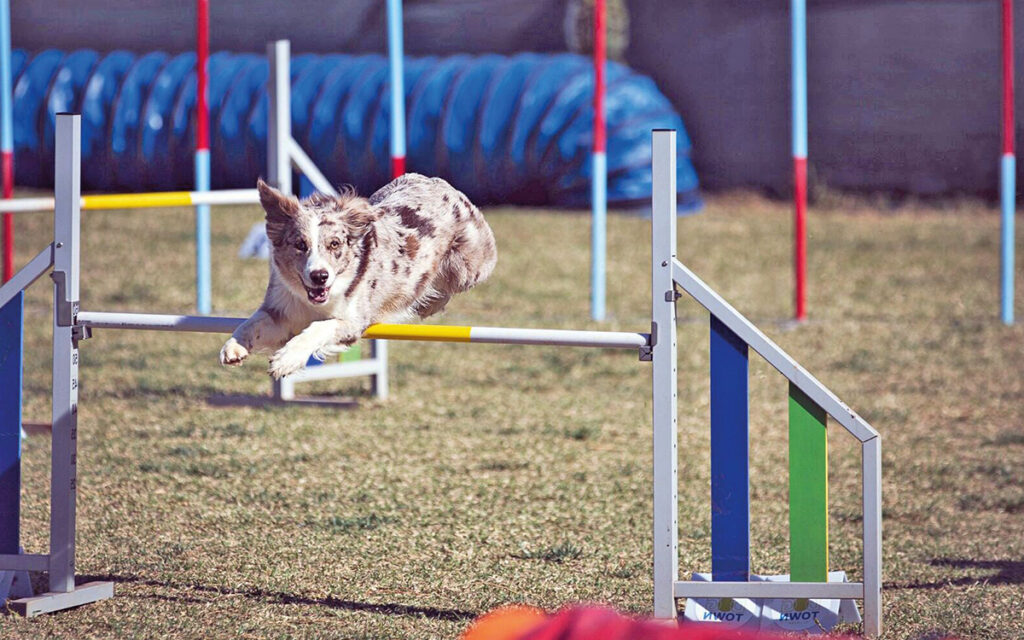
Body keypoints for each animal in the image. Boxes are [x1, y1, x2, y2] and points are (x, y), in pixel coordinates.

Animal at [221, 172, 499, 376]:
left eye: (334, 244)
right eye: (300, 244)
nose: (319, 276)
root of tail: (437, 182)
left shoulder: (353, 321)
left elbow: (318, 328)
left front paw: (286, 360)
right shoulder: (283, 311)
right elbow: (251, 323)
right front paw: (233, 348)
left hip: (468, 268)